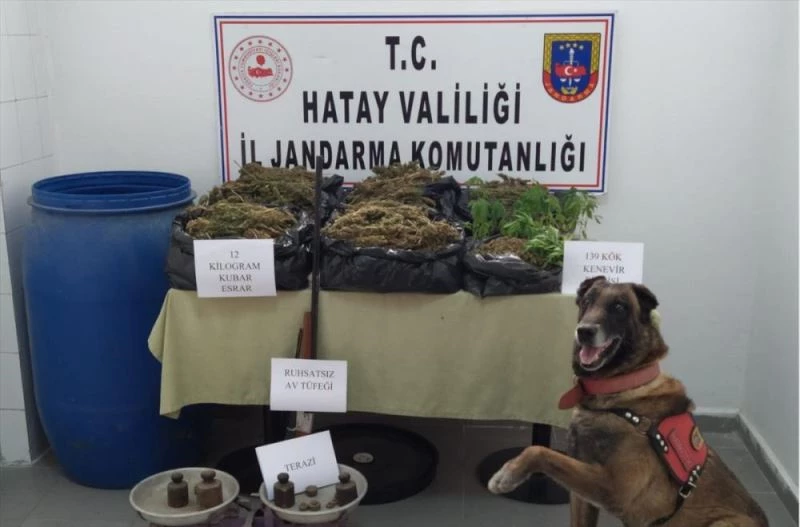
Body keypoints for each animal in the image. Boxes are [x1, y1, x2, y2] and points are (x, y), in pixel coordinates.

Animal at [488, 276, 769, 526]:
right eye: (587, 302)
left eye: (619, 308)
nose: (584, 331)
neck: (624, 388)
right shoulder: (583, 497)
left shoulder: (616, 487)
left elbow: (540, 451)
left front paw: (509, 473)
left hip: (725, 522)